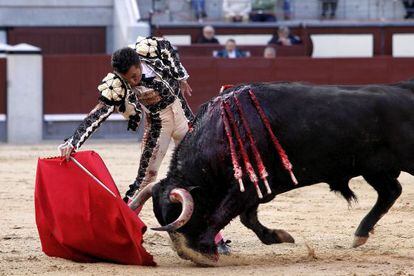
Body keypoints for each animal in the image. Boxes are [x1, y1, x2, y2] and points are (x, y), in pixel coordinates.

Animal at [130, 80, 414, 266]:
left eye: (179, 214)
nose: (184, 252)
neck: (219, 132)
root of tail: (405, 89)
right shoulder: (254, 188)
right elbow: (248, 219)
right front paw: (279, 236)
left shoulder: (243, 187)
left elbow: (222, 214)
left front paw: (204, 249)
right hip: (374, 168)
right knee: (391, 191)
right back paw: (360, 235)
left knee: (392, 191)